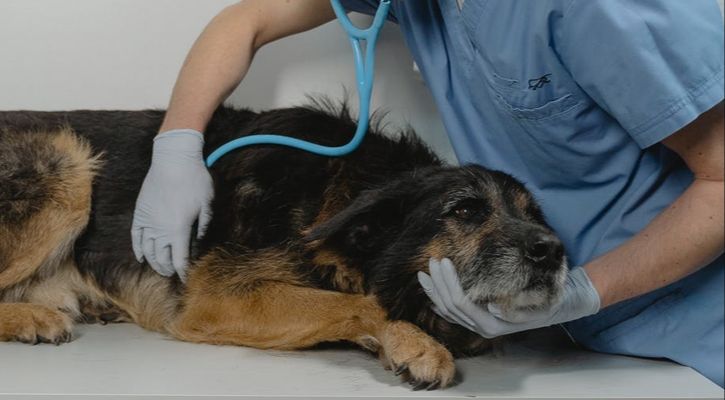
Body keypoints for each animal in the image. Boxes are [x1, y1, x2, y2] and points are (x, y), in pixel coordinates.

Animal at [0, 101, 564, 390]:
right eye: (465, 211)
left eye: (535, 215)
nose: (553, 252)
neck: (342, 192)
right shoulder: (218, 298)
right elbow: (365, 302)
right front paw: (418, 343)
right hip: (66, 161)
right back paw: (32, 318)